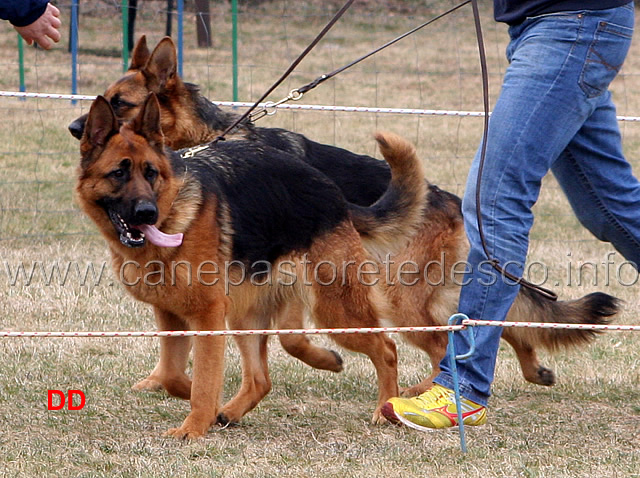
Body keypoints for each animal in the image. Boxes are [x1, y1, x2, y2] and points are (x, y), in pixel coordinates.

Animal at [70, 36, 620, 400]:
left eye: (121, 103)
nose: (77, 127)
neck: (213, 138)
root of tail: (449, 202)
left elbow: (289, 338)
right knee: (496, 322)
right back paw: (528, 371)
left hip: (399, 298)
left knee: (448, 343)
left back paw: (421, 395)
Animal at [74, 90, 424, 436]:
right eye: (119, 173)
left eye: (150, 173)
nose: (147, 213)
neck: (173, 213)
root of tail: (331, 190)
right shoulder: (172, 315)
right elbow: (174, 375)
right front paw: (199, 402)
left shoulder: (208, 315)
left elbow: (205, 377)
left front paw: (194, 427)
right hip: (246, 316)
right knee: (261, 378)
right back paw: (232, 409)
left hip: (335, 311)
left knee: (387, 349)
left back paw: (385, 407)